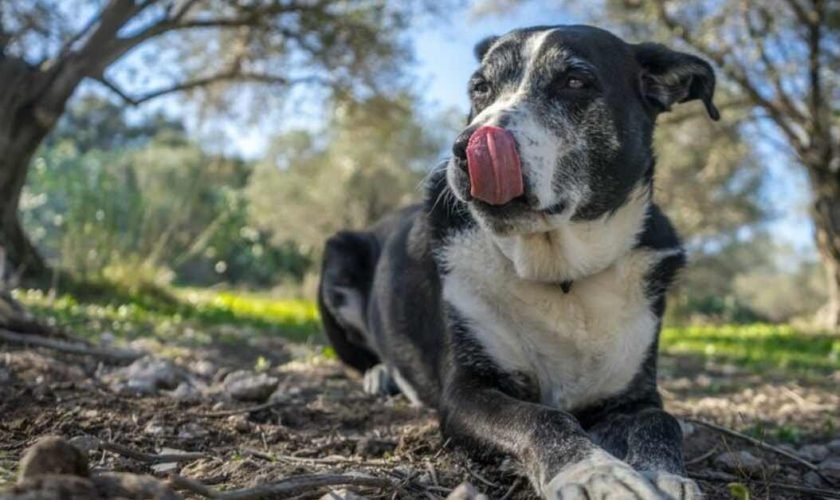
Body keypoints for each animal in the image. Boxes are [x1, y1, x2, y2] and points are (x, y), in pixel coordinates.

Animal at [318, 24, 720, 500]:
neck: (560, 273)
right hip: (337, 258)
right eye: (480, 88)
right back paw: (380, 375)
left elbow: (661, 421)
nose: (463, 149)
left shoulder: (634, 395)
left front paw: (667, 475)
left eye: (575, 81)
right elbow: (542, 417)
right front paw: (592, 472)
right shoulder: (467, 392)